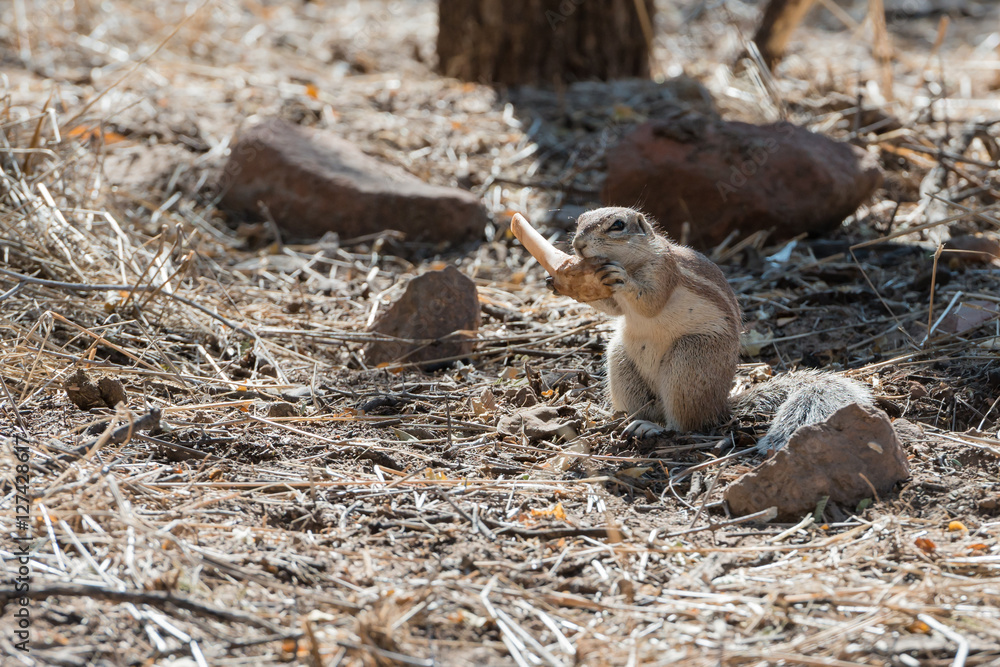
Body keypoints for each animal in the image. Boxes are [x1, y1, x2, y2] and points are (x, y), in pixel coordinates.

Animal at [568, 206, 874, 451]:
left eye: (617, 225)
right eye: (580, 220)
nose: (578, 244)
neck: (633, 260)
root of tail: (720, 406)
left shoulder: (664, 271)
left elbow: (650, 302)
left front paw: (622, 278)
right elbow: (613, 308)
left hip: (689, 360)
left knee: (685, 424)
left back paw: (655, 428)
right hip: (621, 359)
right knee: (648, 407)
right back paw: (626, 420)